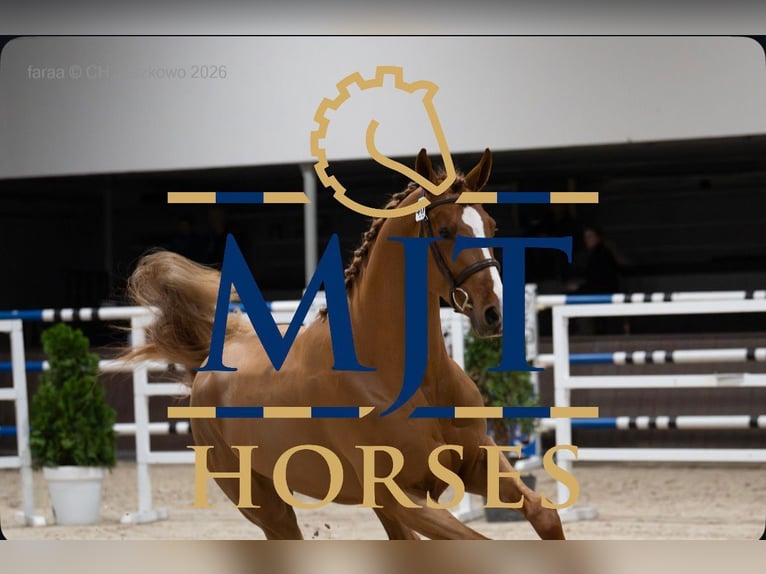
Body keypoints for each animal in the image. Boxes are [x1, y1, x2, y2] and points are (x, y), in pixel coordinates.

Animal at [127, 148, 566, 540]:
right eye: (444, 232)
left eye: (491, 226)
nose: (496, 313)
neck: (404, 375)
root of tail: (213, 358)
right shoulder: (401, 497)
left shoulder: (476, 461)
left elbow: (544, 515)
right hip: (266, 507)